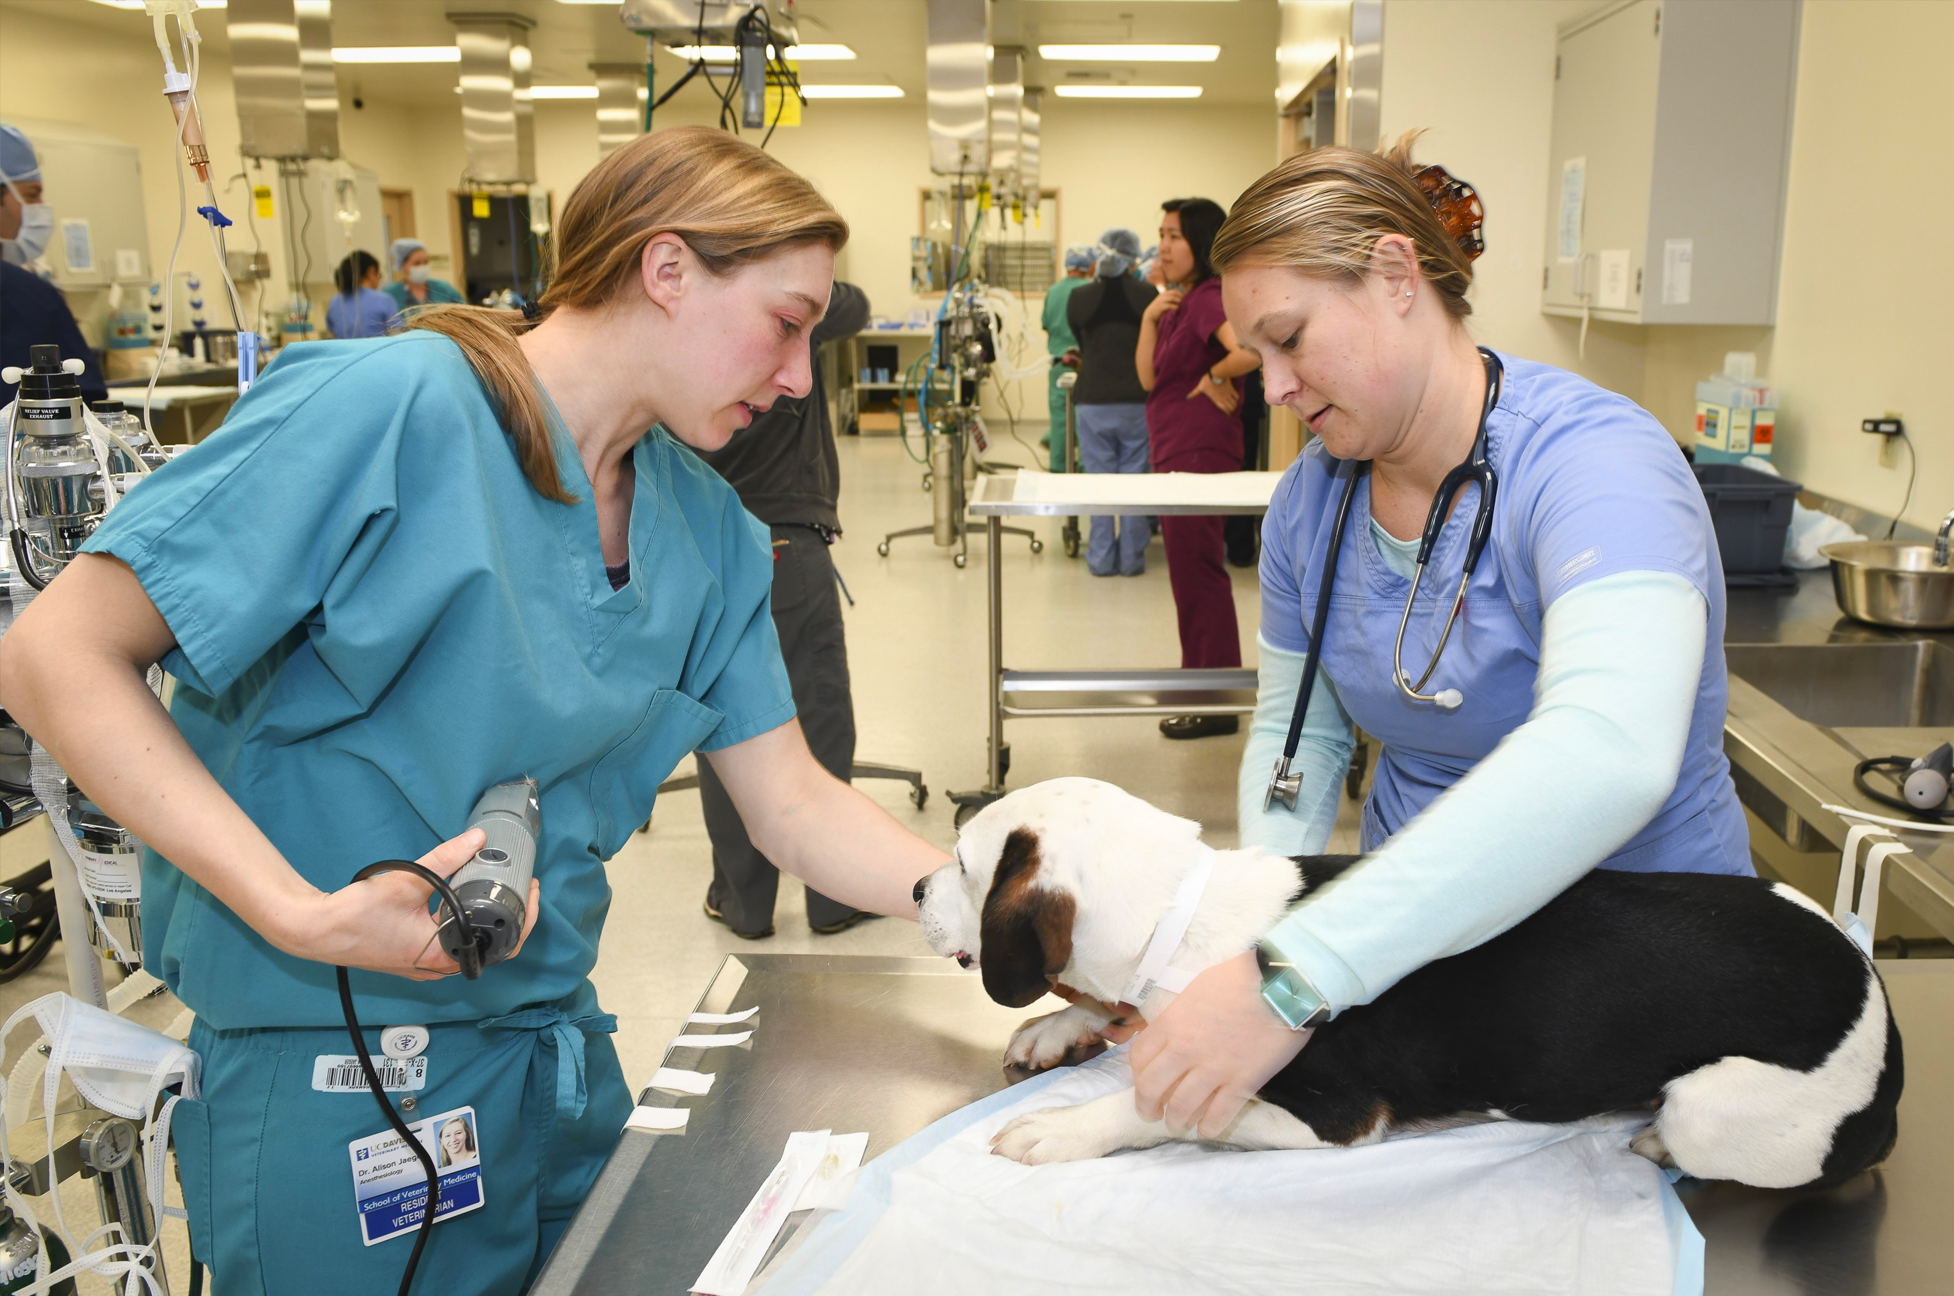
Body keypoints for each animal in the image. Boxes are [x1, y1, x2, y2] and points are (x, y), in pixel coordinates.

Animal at [918, 774, 1907, 1188]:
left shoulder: (1332, 1116)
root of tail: (1874, 989)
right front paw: (1061, 1027)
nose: (919, 890)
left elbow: (1156, 1107)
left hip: (1717, 1111)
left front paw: (1064, 1128)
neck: (1181, 914)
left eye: (963, 865)